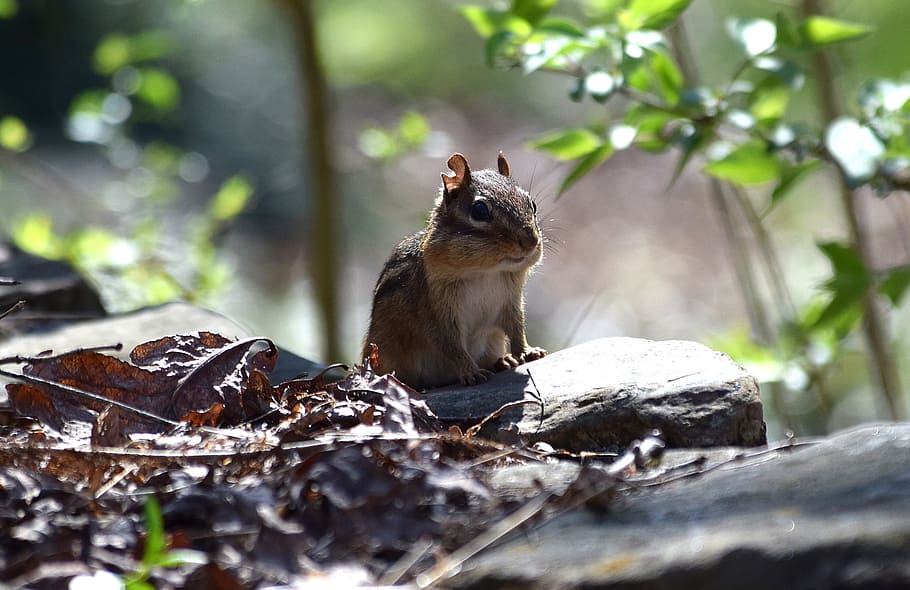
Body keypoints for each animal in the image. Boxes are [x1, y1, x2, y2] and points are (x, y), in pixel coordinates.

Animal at [362, 151, 547, 390]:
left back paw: (502, 361)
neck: (486, 273)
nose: (530, 241)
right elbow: (451, 345)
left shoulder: (510, 303)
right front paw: (471, 371)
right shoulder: (435, 311)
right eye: (479, 210)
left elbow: (517, 329)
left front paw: (527, 351)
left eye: (532, 203)